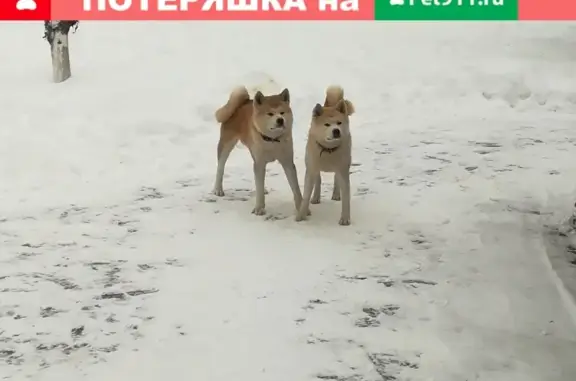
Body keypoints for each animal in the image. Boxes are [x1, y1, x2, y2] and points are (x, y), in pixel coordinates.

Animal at [212, 87, 302, 217]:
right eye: (270, 113)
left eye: (282, 112)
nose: (280, 120)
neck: (272, 141)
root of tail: (243, 102)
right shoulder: (259, 162)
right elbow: (259, 187)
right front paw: (259, 208)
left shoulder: (287, 162)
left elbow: (295, 188)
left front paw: (302, 207)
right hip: (226, 144)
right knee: (220, 167)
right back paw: (218, 189)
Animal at [296, 84, 356, 224]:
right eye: (327, 124)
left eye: (339, 123)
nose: (336, 131)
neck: (329, 150)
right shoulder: (311, 169)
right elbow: (306, 196)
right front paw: (301, 215)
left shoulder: (343, 170)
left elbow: (346, 198)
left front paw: (345, 218)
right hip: (314, 165)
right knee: (318, 180)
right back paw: (316, 197)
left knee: (336, 179)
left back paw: (336, 194)